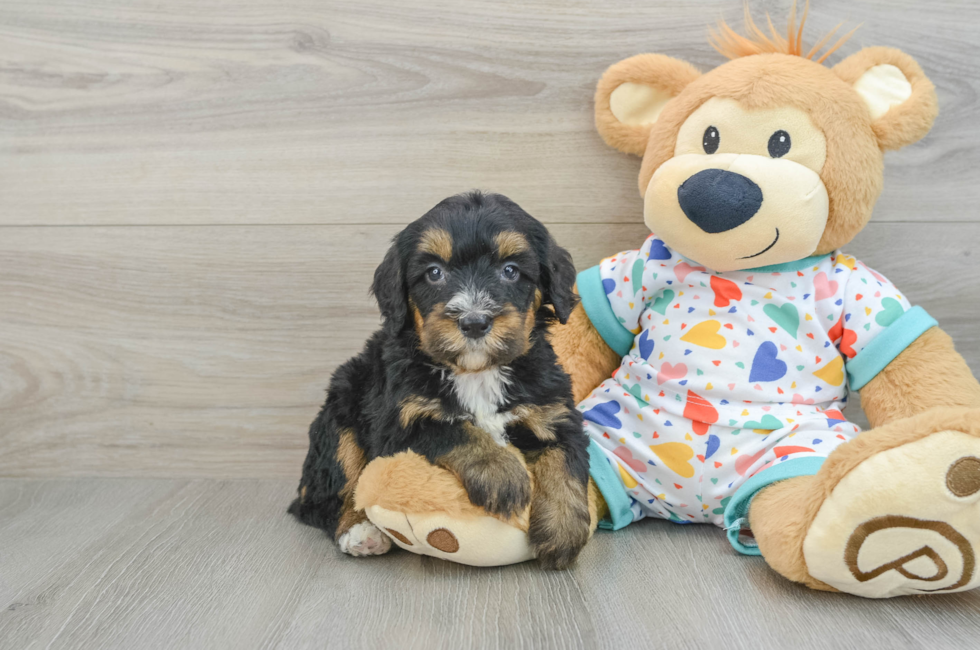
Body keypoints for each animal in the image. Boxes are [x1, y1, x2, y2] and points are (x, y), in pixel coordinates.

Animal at [290, 190, 588, 564]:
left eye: (510, 271)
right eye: (434, 273)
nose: (474, 322)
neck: (476, 373)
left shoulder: (554, 410)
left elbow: (566, 462)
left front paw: (563, 532)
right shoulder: (399, 422)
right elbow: (454, 430)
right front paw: (502, 473)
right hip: (342, 408)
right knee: (327, 495)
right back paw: (360, 531)